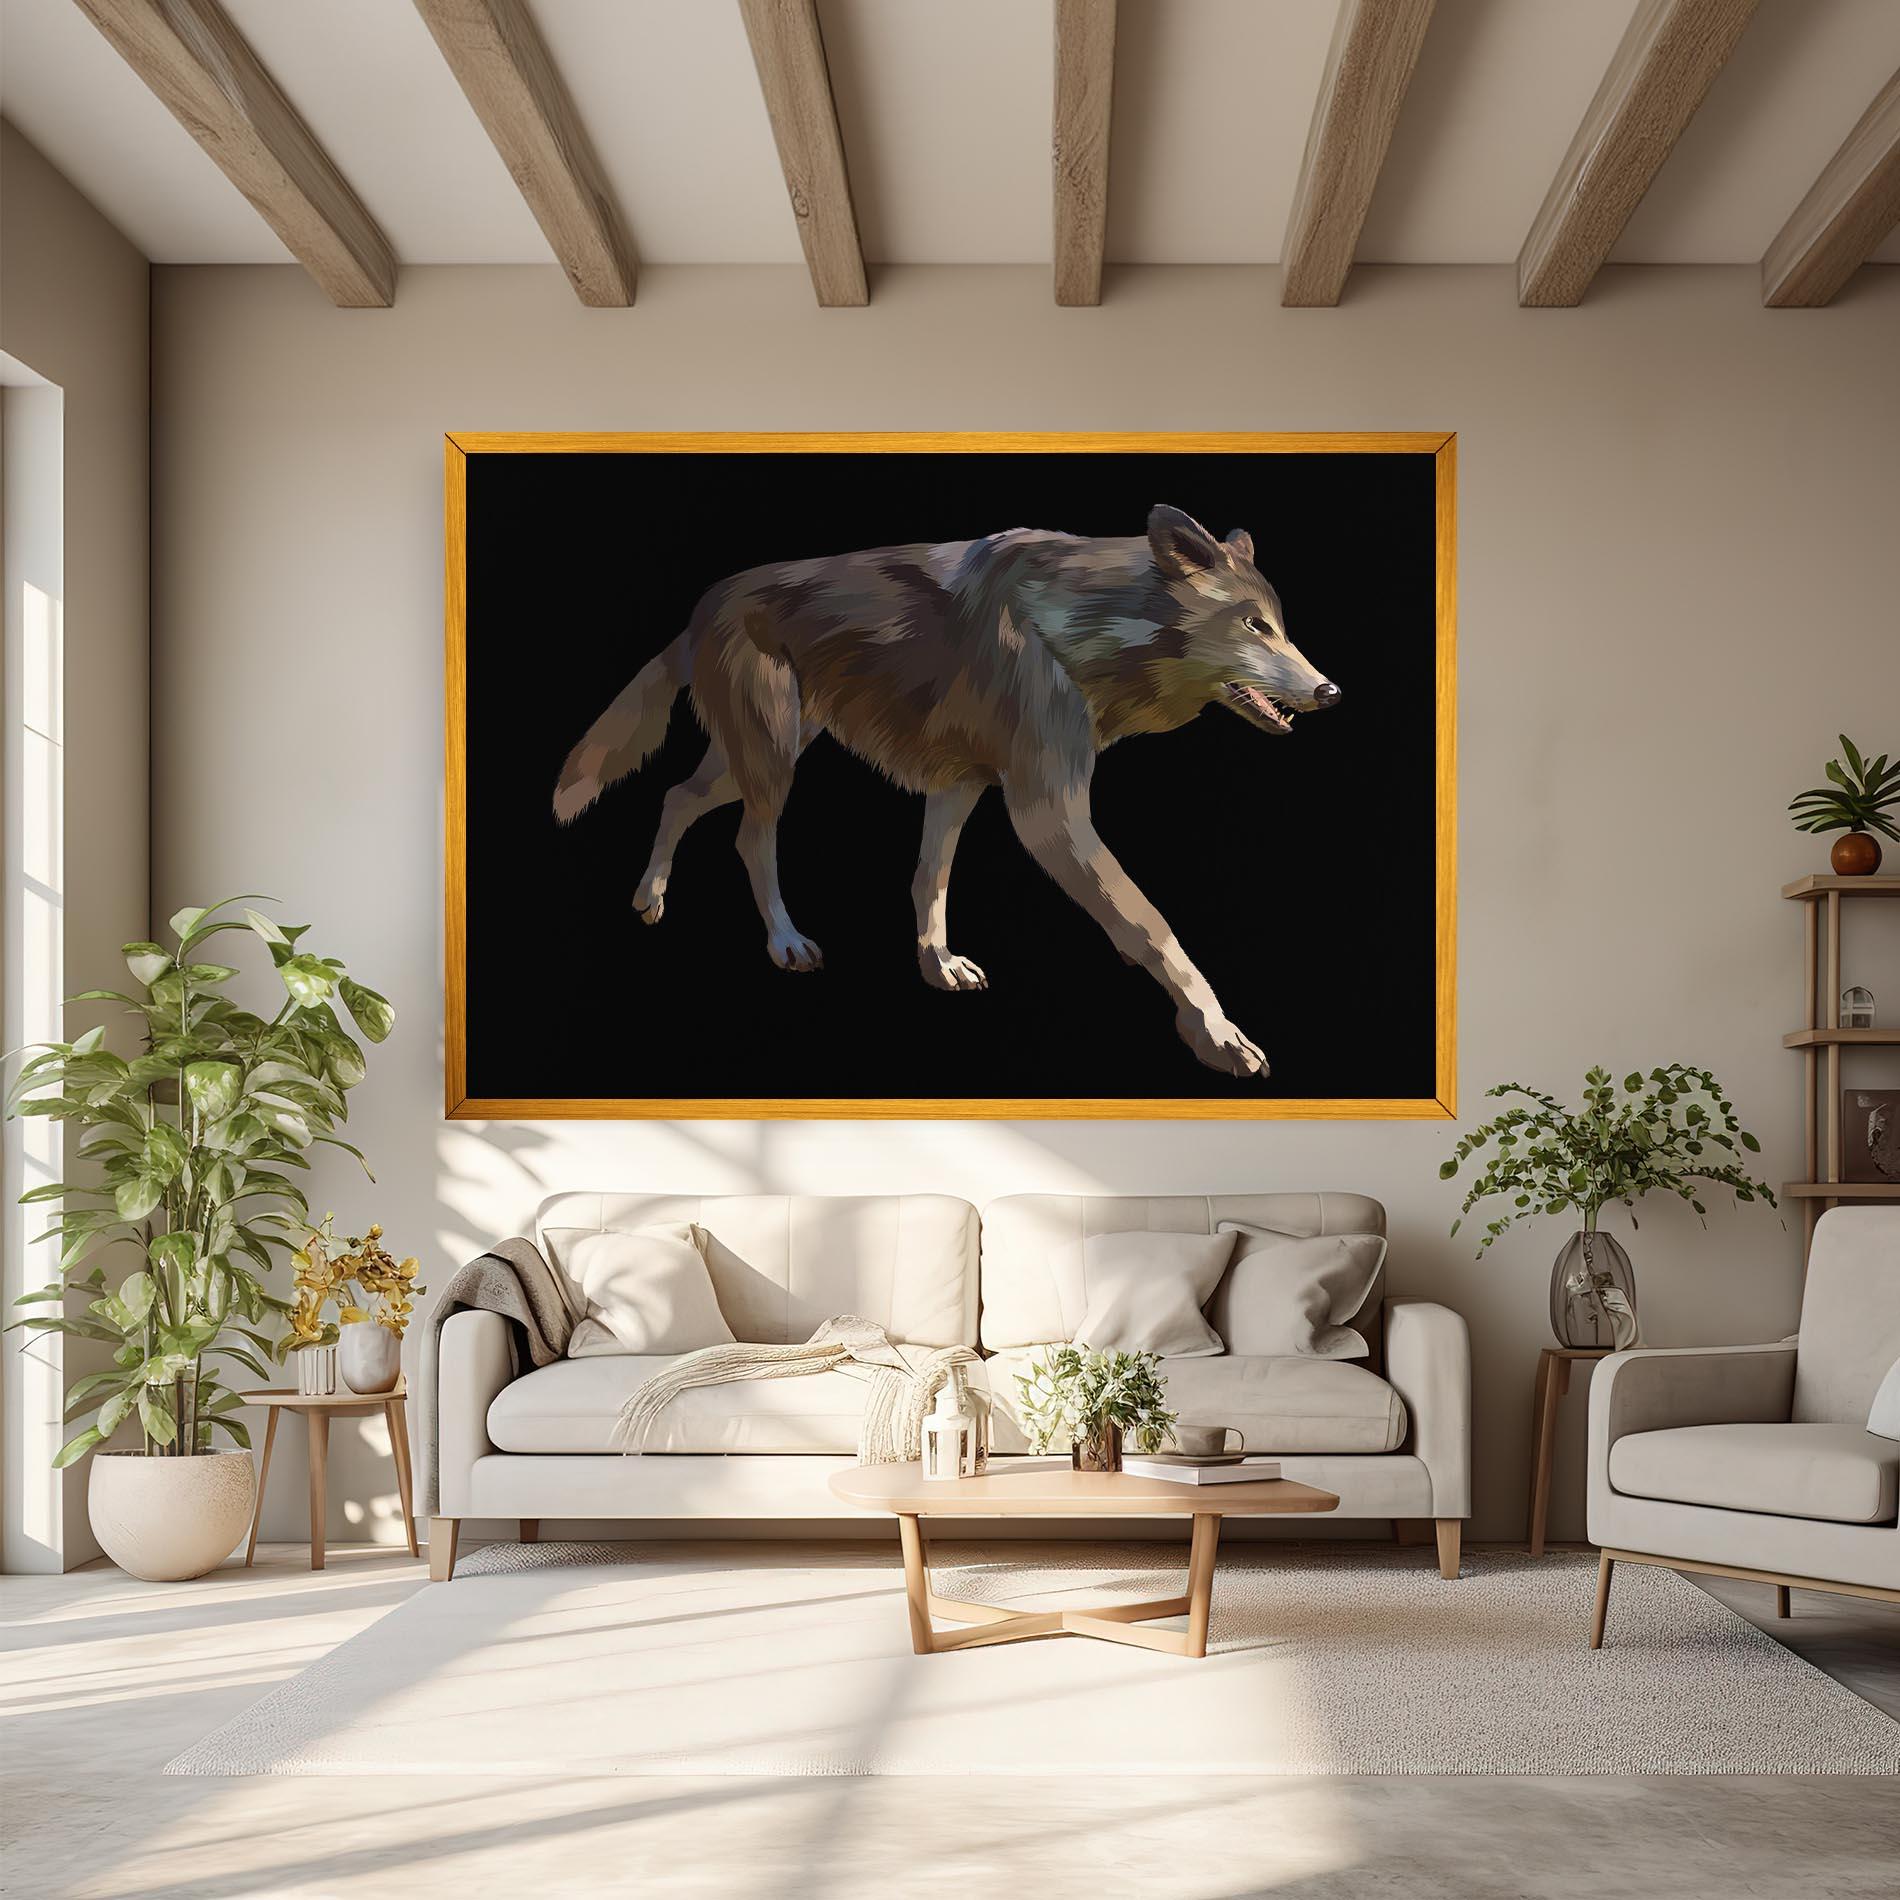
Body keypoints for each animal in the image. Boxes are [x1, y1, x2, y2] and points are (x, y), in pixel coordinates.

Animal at [552, 504, 1341, 1076]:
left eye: (1282, 628)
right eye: (1255, 626)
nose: (1330, 692)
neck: (1081, 629)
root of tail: (703, 601)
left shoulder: (959, 786)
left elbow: (929, 879)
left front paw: (937, 966)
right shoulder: (1046, 812)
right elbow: (1152, 925)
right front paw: (1217, 1034)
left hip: (756, 756)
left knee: (676, 796)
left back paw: (650, 898)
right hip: (773, 761)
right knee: (749, 837)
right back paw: (784, 942)